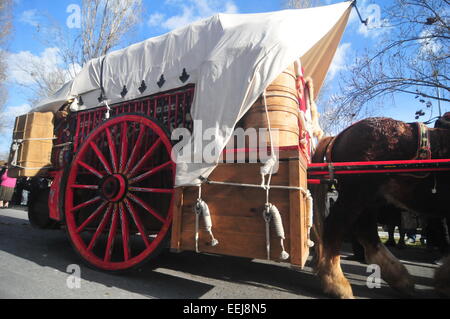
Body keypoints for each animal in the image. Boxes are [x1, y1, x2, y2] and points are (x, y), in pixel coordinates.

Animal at [312, 115, 450, 300]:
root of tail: (339, 135)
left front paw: (443, 282)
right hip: (357, 194)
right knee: (336, 227)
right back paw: (337, 284)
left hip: (370, 199)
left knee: (366, 232)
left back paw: (401, 279)